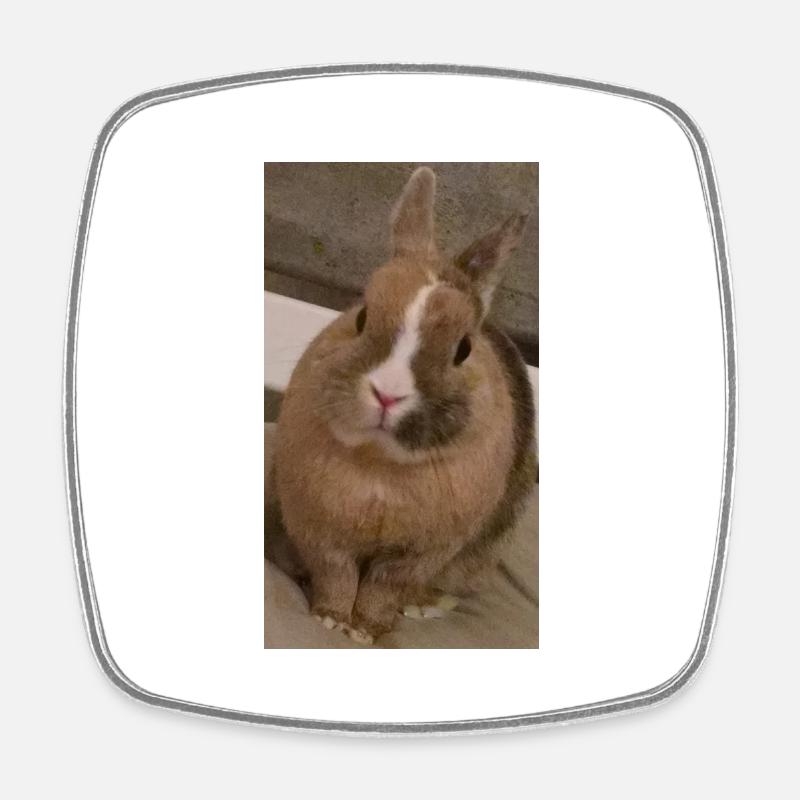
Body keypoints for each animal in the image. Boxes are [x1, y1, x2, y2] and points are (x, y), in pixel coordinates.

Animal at [272, 166, 536, 644]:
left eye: (464, 348)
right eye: (361, 317)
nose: (388, 392)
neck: (379, 465)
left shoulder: (418, 554)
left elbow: (383, 588)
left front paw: (367, 630)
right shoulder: (322, 536)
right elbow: (337, 577)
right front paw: (331, 619)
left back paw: (423, 606)